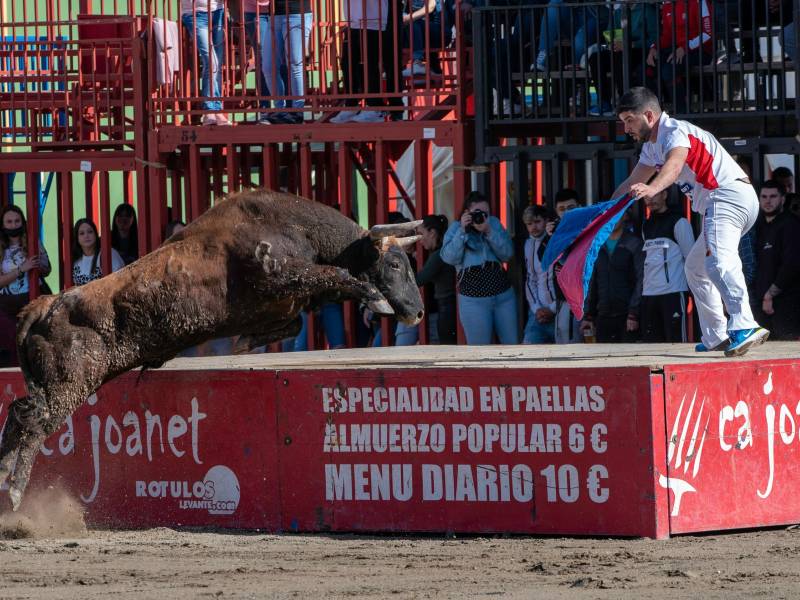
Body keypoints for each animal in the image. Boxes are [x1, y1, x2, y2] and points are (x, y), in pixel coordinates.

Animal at [0, 190, 424, 508]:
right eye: (395, 263)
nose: (418, 312)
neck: (296, 227)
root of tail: (44, 306)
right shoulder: (284, 273)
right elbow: (339, 274)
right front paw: (377, 299)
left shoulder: (282, 305)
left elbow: (294, 321)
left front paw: (244, 343)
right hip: (69, 386)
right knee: (35, 423)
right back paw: (16, 492)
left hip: (50, 385)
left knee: (19, 412)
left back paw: (4, 476)